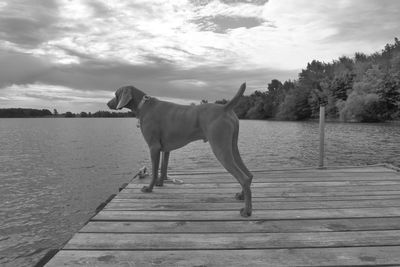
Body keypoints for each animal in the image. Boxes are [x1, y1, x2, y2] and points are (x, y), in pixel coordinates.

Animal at [107, 84, 253, 218]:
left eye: (115, 94)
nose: (107, 103)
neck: (144, 106)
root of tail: (224, 107)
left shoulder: (153, 147)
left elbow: (154, 170)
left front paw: (149, 188)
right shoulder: (165, 149)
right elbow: (163, 167)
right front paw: (160, 183)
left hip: (220, 146)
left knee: (243, 178)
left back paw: (247, 211)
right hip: (232, 146)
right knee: (248, 174)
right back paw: (241, 196)